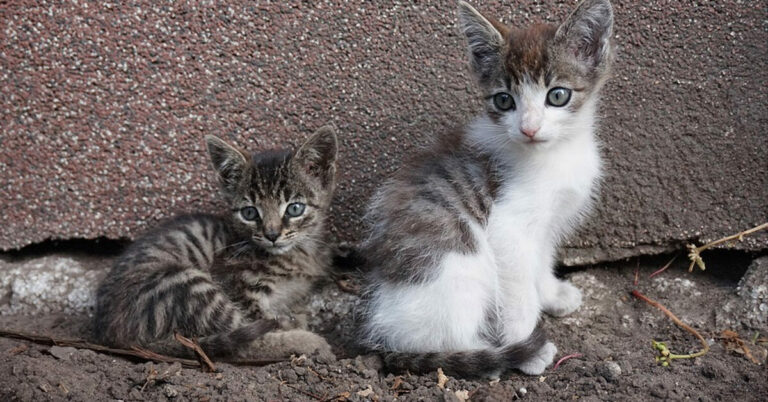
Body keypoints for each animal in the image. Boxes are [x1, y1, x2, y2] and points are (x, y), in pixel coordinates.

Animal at [92, 127, 336, 360]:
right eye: (249, 213)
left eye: (295, 208)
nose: (272, 234)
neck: (298, 252)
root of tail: (111, 333)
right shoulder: (239, 285)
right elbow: (260, 324)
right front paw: (293, 326)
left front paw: (295, 317)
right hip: (184, 284)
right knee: (241, 342)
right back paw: (310, 342)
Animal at [358, 0, 612, 376]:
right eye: (504, 100)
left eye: (558, 96)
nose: (529, 128)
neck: (555, 153)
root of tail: (386, 335)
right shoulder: (508, 228)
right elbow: (519, 292)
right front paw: (529, 347)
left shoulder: (548, 223)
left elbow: (542, 260)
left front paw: (552, 294)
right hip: (459, 268)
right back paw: (488, 356)